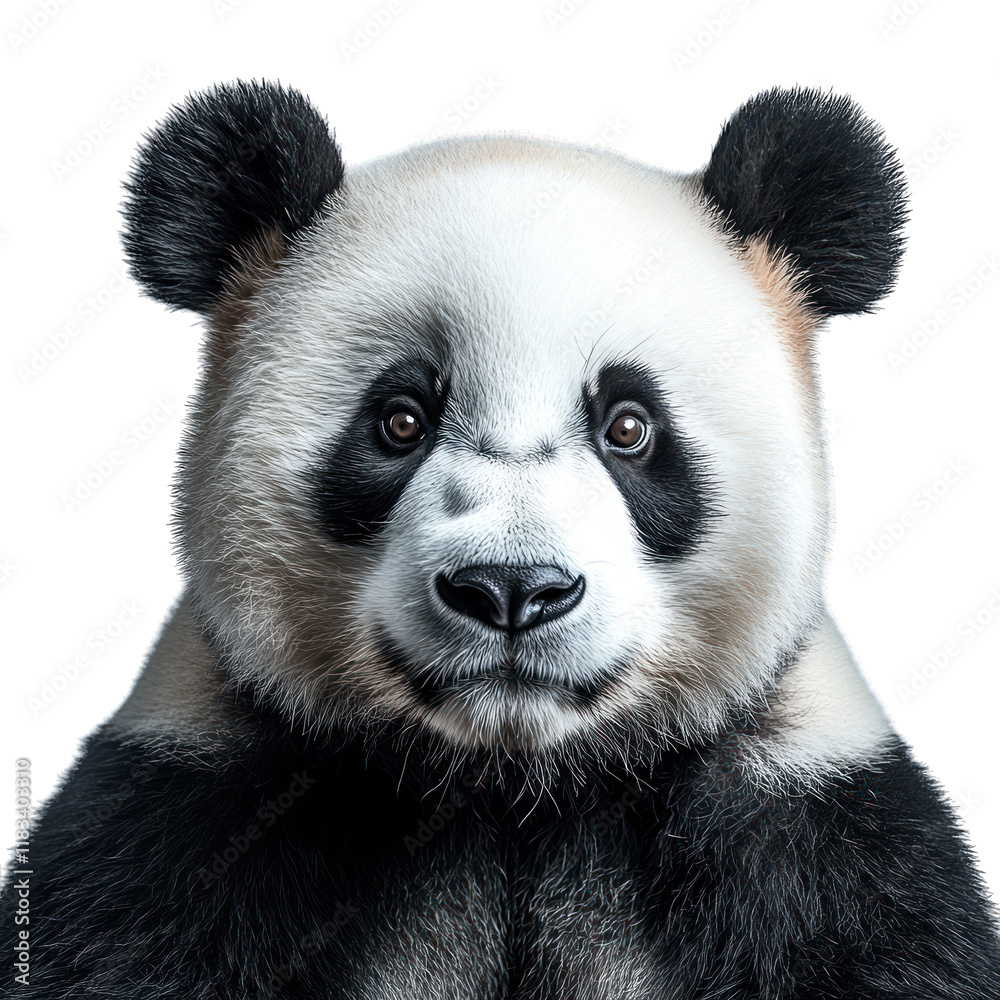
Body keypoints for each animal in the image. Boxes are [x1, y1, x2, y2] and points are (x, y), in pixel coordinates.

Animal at [3, 80, 998, 999]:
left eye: (630, 426)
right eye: (399, 420)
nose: (513, 589)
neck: (510, 784)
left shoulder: (809, 825)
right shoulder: (192, 814)